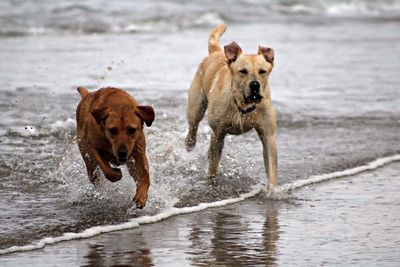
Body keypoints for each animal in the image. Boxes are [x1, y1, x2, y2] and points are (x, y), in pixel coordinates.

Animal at [185, 25, 276, 187]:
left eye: (262, 71)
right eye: (243, 71)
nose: (255, 85)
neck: (243, 104)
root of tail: (215, 52)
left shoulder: (268, 134)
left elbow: (271, 167)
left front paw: (273, 190)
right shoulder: (218, 133)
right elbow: (213, 164)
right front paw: (212, 180)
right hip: (196, 105)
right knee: (193, 124)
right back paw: (189, 143)